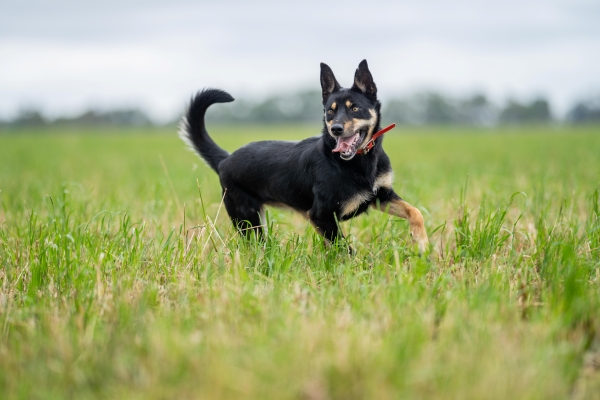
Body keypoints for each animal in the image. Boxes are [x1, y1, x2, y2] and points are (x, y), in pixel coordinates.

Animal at [180, 59, 428, 253]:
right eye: (330, 111)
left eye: (355, 108)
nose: (336, 129)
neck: (358, 162)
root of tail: (225, 159)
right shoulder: (320, 215)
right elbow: (345, 249)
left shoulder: (381, 196)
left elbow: (415, 212)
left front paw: (422, 243)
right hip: (247, 219)